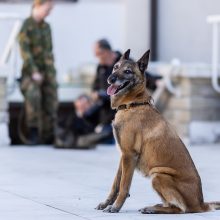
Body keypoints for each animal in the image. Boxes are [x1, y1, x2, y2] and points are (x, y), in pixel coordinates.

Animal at [96, 49, 220, 213]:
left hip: (158, 175)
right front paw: (107, 203)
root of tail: (201, 204)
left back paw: (153, 209)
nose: (110, 79)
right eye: (115, 67)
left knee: (180, 209)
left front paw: (115, 207)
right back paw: (155, 206)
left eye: (128, 71)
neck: (133, 104)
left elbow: (123, 186)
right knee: (172, 204)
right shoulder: (123, 156)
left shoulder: (129, 155)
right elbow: (115, 184)